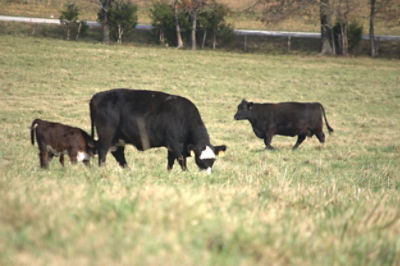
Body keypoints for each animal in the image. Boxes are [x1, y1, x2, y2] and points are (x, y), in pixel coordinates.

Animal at [91, 88, 228, 174]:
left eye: (213, 160)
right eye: (200, 159)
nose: (208, 174)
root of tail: (98, 95)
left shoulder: (172, 147)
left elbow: (170, 162)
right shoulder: (175, 144)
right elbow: (181, 161)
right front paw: (186, 173)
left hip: (118, 139)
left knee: (119, 155)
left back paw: (128, 171)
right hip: (107, 135)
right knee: (103, 151)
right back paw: (103, 170)